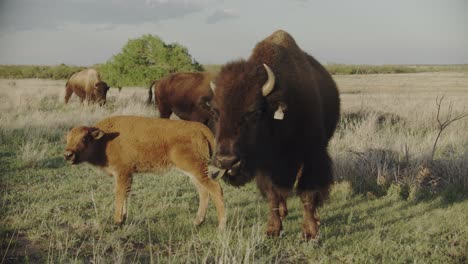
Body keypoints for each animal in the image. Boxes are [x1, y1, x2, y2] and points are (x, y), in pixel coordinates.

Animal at [63, 115, 227, 229]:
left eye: (85, 139)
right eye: (67, 139)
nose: (68, 155)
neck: (106, 140)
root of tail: (201, 129)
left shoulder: (122, 172)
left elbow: (119, 193)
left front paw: (117, 221)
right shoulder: (127, 175)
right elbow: (126, 194)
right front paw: (123, 219)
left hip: (196, 169)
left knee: (215, 189)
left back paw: (221, 227)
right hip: (193, 172)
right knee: (203, 191)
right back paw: (197, 222)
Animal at [208, 29, 340, 239]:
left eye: (254, 112)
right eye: (215, 112)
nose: (227, 162)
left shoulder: (312, 155)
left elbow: (307, 193)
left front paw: (310, 231)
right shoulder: (266, 166)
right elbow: (272, 194)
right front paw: (273, 228)